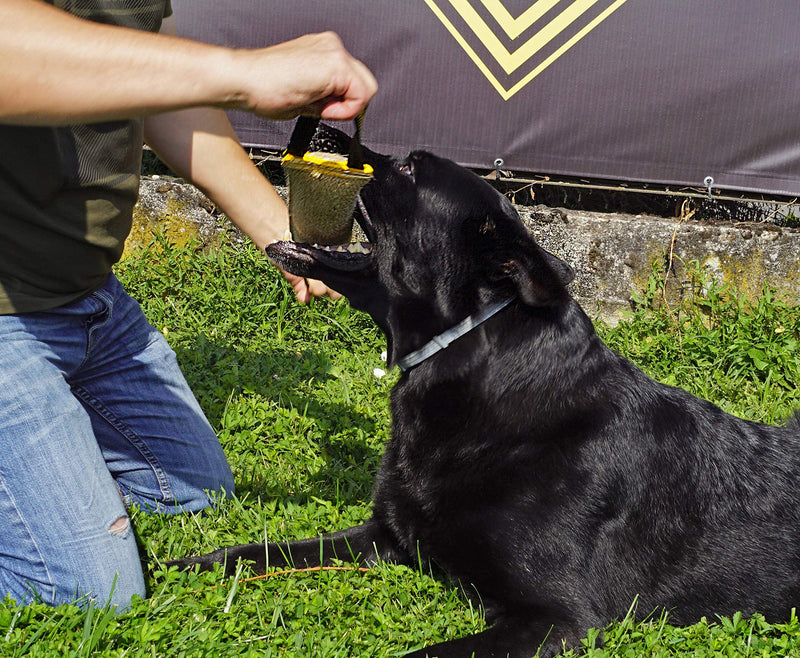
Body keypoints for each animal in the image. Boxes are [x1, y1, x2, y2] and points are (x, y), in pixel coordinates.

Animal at [170, 128, 800, 656]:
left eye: (409, 167)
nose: (313, 129)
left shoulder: (556, 619)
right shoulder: (385, 536)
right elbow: (261, 552)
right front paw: (183, 565)